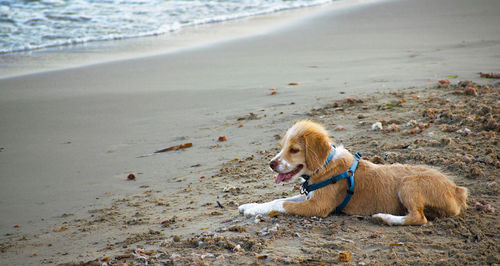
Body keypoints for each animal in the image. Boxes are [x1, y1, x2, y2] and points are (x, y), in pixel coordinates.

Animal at [240, 119, 466, 225]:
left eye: (294, 150)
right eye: (282, 147)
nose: (271, 164)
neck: (325, 165)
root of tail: (456, 190)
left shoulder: (318, 206)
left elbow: (283, 204)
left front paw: (251, 211)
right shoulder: (309, 197)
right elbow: (278, 199)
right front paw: (251, 205)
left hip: (409, 184)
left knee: (419, 218)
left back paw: (385, 218)